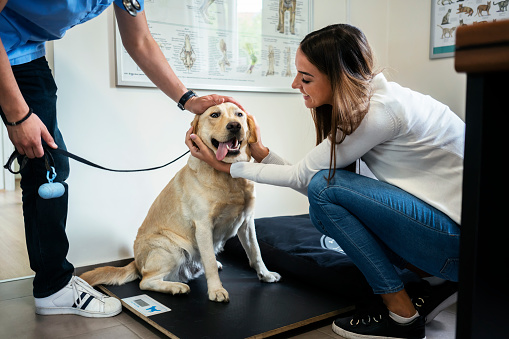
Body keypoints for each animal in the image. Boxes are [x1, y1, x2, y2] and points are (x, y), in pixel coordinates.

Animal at [84, 103, 282, 302]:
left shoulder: (247, 222)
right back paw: (176, 287)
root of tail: (136, 262)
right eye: (215, 115)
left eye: (239, 114)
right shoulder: (203, 226)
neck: (229, 177)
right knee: (145, 281)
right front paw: (216, 290)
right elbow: (209, 262)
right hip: (170, 248)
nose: (234, 125)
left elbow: (256, 252)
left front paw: (265, 274)